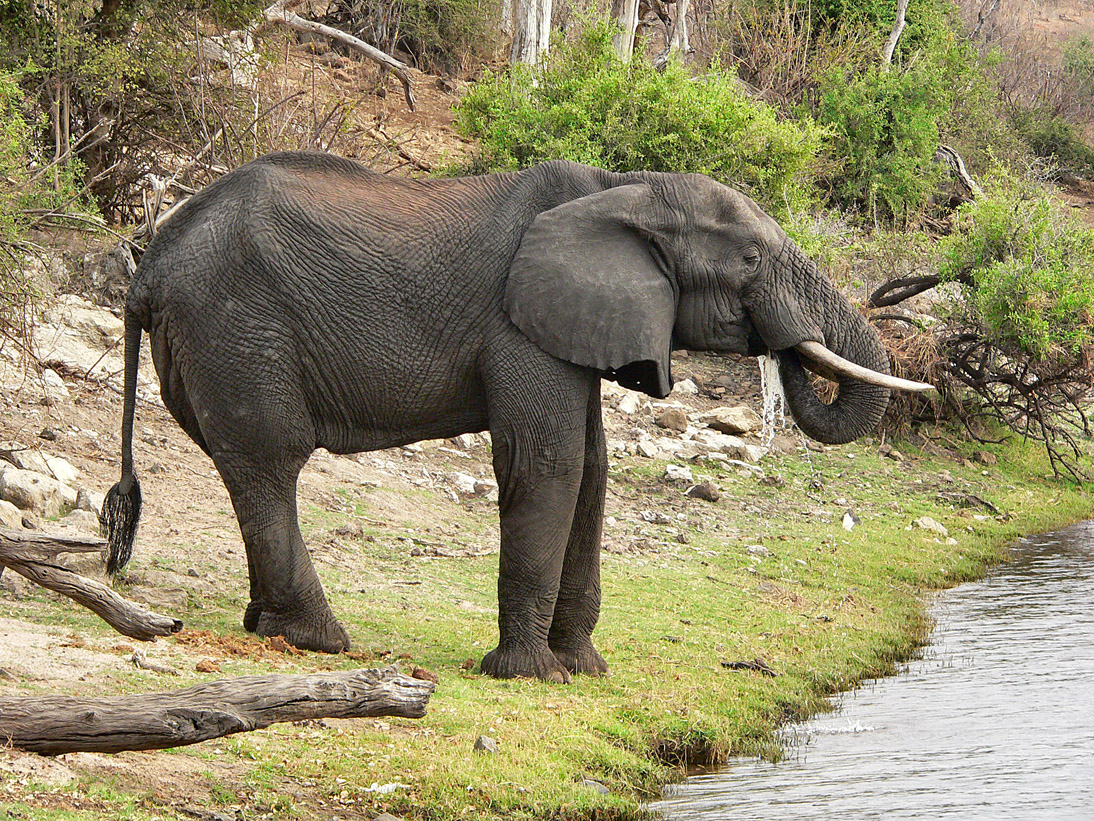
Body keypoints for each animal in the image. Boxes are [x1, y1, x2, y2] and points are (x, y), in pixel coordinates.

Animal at [100, 151, 932, 683]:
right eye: (751, 262)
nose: (783, 346)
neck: (623, 187)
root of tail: (149, 262)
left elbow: (592, 470)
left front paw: (584, 669)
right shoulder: (519, 325)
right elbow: (548, 463)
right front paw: (530, 676)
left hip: (209, 336)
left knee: (246, 466)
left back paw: (266, 626)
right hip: (236, 325)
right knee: (272, 461)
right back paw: (321, 640)